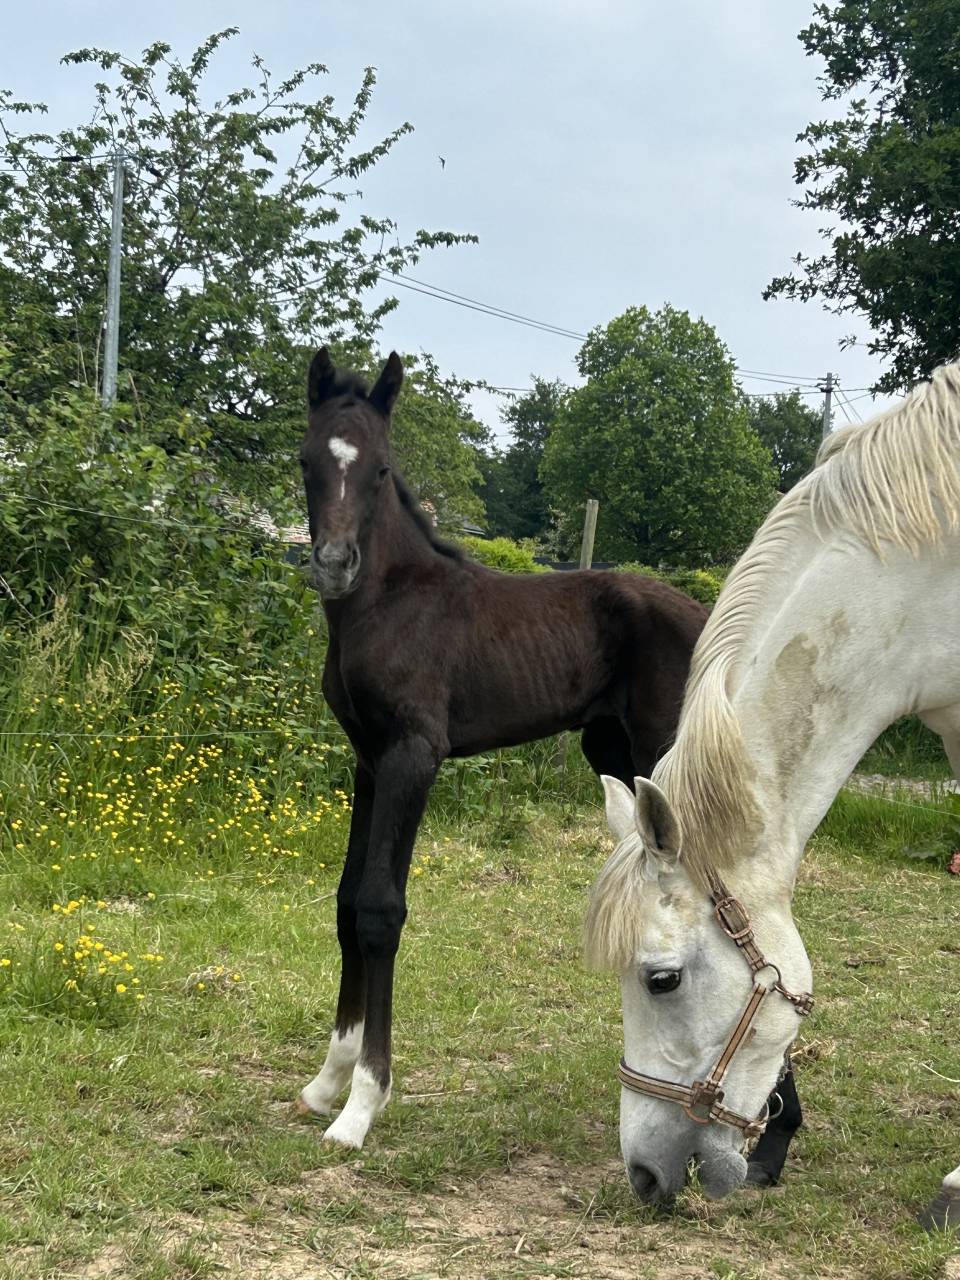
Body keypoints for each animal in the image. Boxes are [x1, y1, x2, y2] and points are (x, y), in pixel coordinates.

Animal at [291, 346, 803, 1165]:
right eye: (309, 460)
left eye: (379, 468)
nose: (336, 564)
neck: (390, 601)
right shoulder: (368, 761)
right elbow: (345, 902)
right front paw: (324, 1082)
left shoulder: (413, 756)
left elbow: (380, 910)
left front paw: (361, 1106)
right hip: (618, 754)